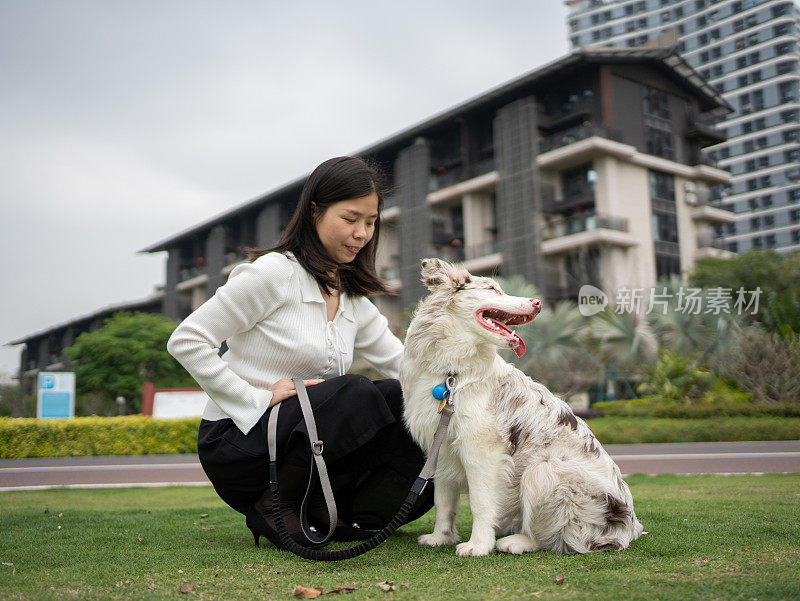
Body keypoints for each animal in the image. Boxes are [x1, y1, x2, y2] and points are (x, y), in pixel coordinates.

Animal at [400, 255, 644, 556]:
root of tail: (631, 529)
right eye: (492, 289)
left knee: (551, 538)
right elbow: (443, 501)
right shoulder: (442, 445)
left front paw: (478, 545)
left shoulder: (481, 449)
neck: (451, 372)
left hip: (543, 472)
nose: (537, 302)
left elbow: (480, 503)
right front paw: (440, 537)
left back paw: (515, 541)